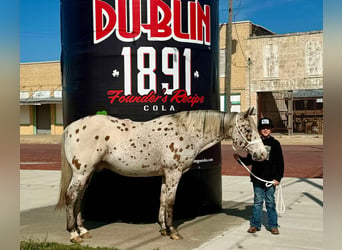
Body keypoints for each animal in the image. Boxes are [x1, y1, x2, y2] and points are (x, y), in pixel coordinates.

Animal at [55, 108, 268, 243]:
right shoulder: (174, 172)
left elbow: (163, 199)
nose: (263, 154)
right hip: (81, 173)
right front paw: (173, 232)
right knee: (71, 196)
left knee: (79, 198)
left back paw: (83, 231)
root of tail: (70, 128)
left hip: (87, 173)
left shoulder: (166, 174)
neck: (186, 130)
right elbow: (171, 202)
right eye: (247, 129)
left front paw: (163, 229)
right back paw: (74, 234)